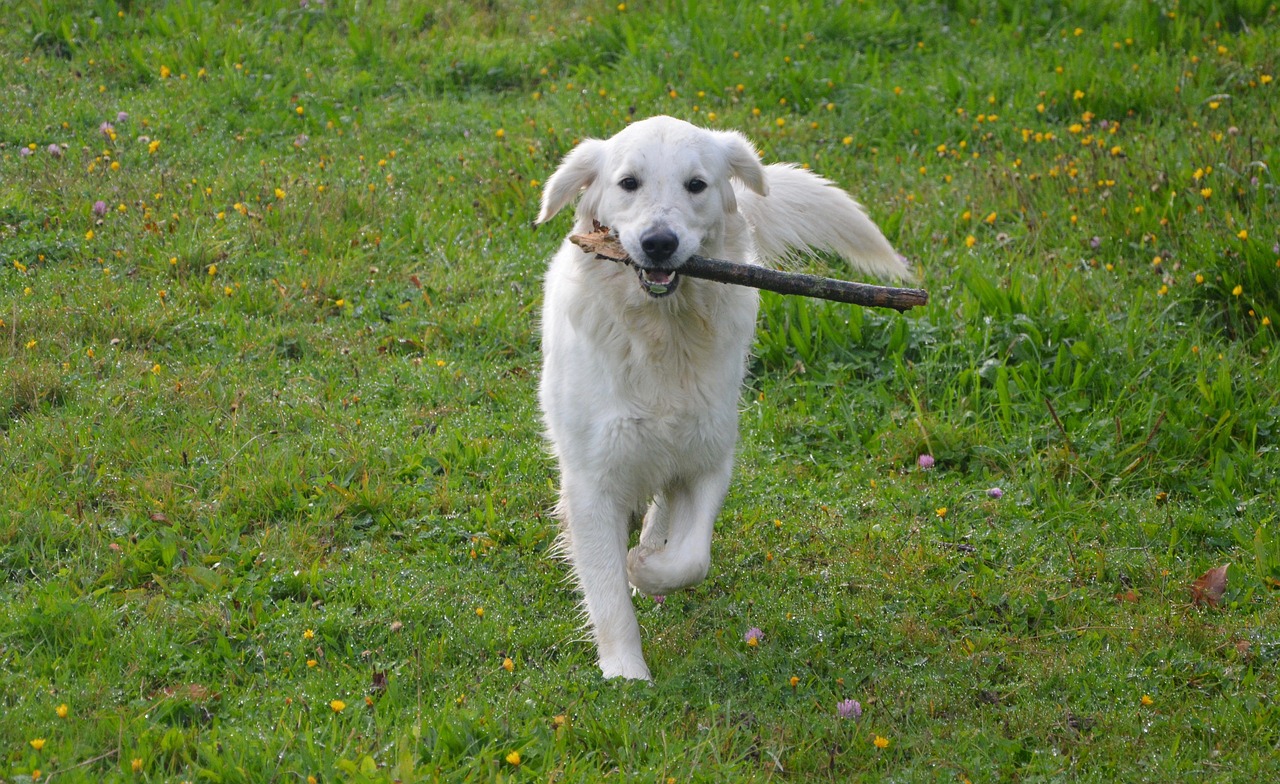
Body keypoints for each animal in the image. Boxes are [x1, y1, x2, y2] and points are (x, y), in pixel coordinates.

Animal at [535, 116, 906, 681]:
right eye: (628, 183)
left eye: (696, 185)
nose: (659, 243)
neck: (663, 333)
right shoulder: (591, 479)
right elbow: (606, 591)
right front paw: (627, 675)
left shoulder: (707, 456)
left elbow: (691, 558)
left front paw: (645, 567)